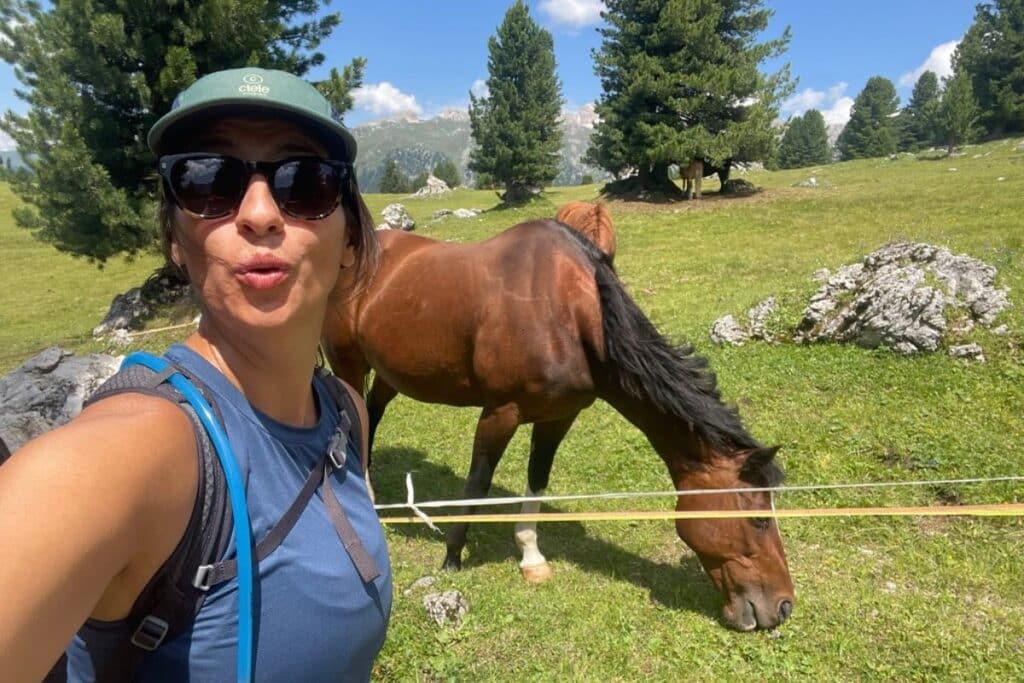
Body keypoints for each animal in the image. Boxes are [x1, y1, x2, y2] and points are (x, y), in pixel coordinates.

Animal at [323, 211, 794, 630]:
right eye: (759, 520)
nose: (783, 606)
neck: (568, 314)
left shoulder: (558, 417)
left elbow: (537, 480)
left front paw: (531, 557)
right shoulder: (500, 414)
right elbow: (477, 484)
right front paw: (453, 558)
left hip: (388, 372)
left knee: (372, 413)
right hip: (349, 363)